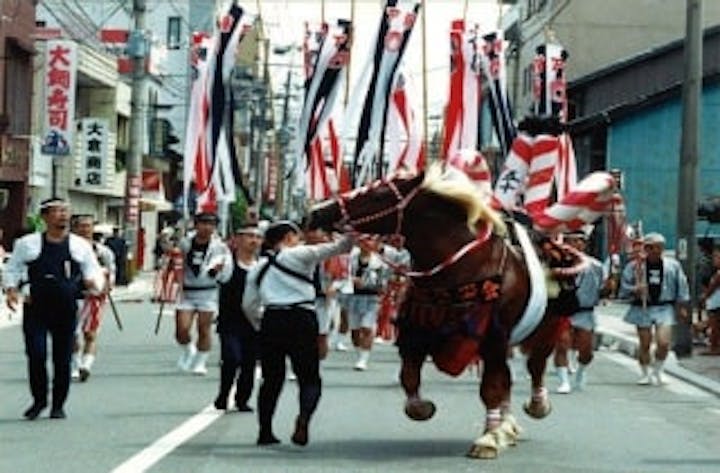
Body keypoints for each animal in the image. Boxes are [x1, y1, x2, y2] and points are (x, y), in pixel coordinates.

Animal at [306, 164, 576, 460]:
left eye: (378, 195)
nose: (318, 212)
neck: (459, 267)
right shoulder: (417, 330)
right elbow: (409, 377)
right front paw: (423, 408)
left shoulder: (493, 336)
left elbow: (491, 387)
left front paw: (488, 440)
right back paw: (507, 426)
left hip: (546, 327)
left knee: (535, 365)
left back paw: (536, 406)